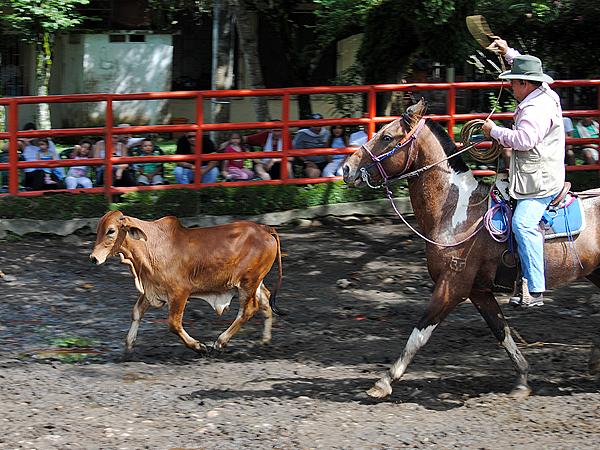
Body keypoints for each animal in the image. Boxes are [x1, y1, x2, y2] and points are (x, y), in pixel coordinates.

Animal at [90, 211, 282, 356]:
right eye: (98, 229)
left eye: (111, 231)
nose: (93, 258)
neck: (150, 246)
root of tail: (265, 228)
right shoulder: (151, 289)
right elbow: (136, 313)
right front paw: (129, 346)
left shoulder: (179, 293)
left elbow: (173, 324)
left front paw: (199, 346)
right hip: (254, 283)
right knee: (265, 300)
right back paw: (265, 340)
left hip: (247, 283)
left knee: (248, 310)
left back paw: (220, 342)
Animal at [340, 100, 600, 400]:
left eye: (386, 137)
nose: (346, 168)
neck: (457, 213)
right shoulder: (479, 291)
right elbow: (501, 331)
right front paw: (522, 379)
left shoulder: (452, 286)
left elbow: (420, 333)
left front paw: (384, 381)